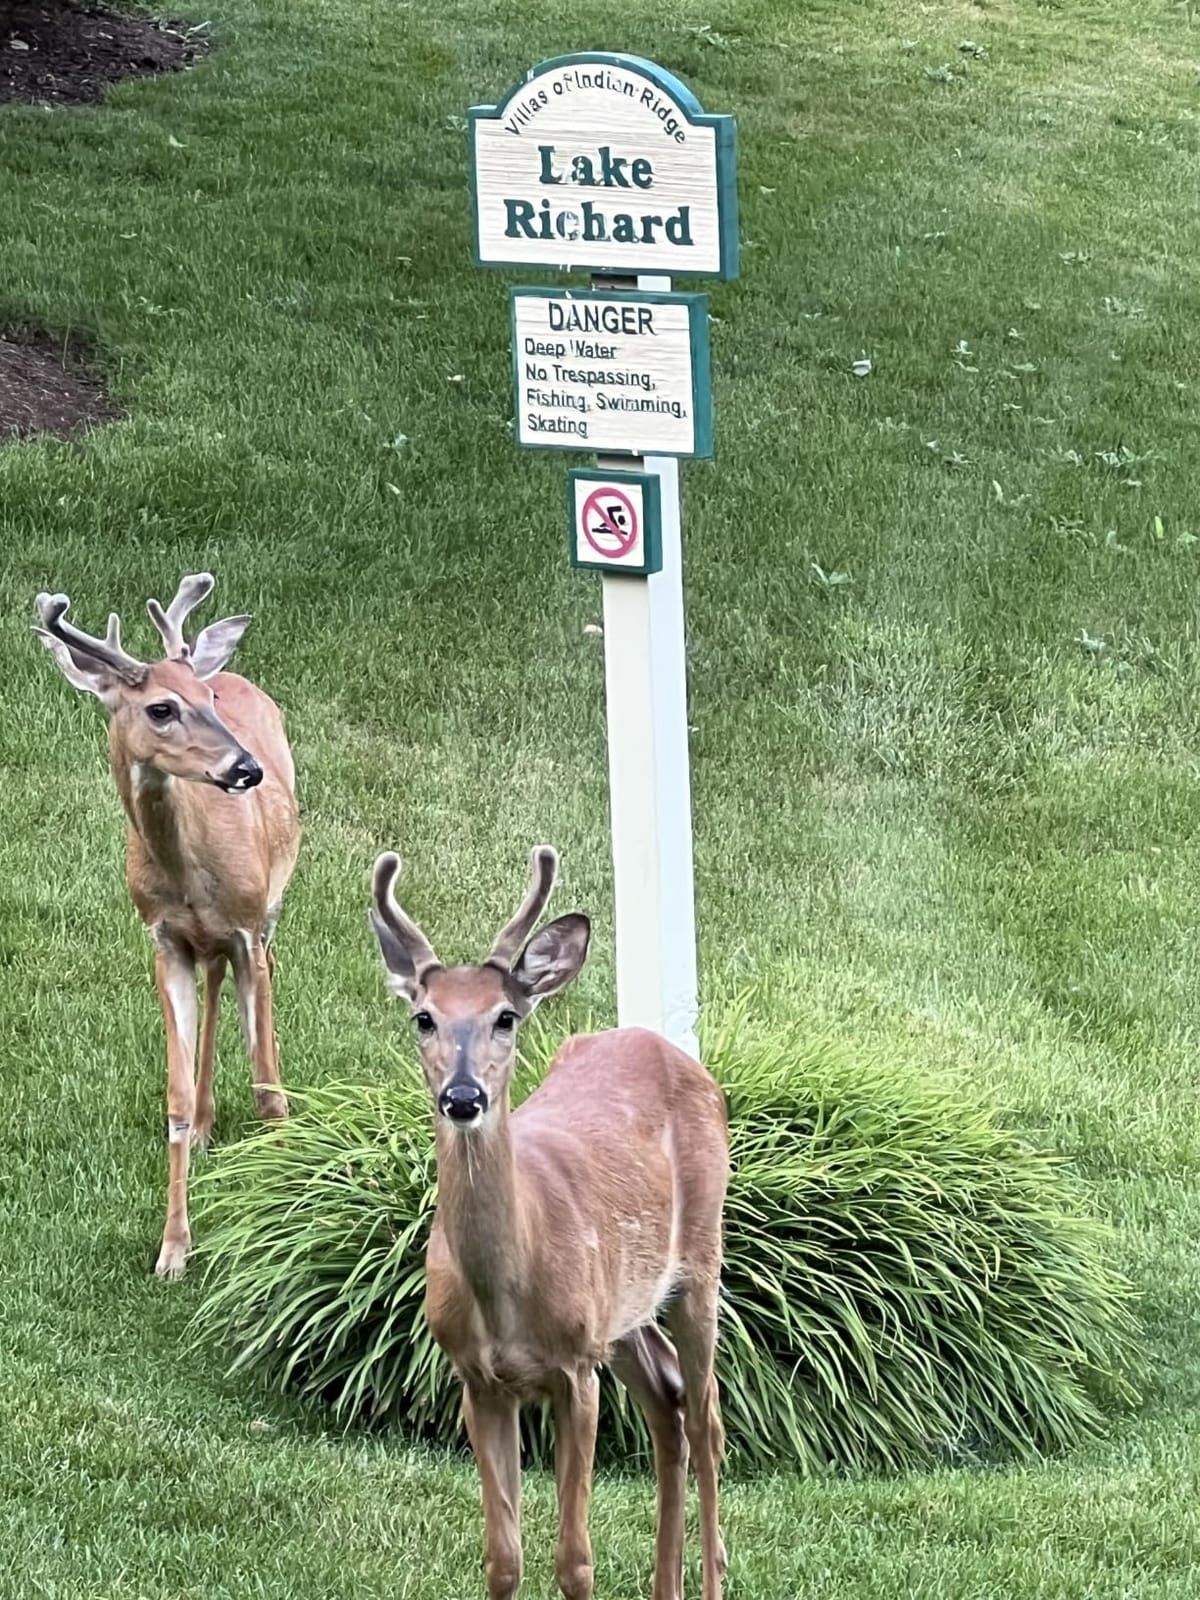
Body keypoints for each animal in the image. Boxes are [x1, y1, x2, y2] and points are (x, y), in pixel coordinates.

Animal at [33, 574, 300, 1279]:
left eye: (207, 700)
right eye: (160, 709)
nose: (245, 768)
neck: (189, 874)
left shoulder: (245, 925)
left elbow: (264, 1080)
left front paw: (287, 1199)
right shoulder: (163, 938)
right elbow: (173, 1101)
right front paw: (174, 1248)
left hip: (269, 909)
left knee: (259, 990)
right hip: (207, 942)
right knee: (214, 984)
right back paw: (208, 1126)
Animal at [368, 845, 729, 1600]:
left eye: (506, 1016)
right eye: (424, 1018)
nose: (464, 1097)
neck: (508, 1291)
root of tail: (674, 1053)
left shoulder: (574, 1367)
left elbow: (574, 1558)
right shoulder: (478, 1379)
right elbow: (504, 1556)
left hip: (700, 1262)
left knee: (708, 1419)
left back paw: (711, 1578)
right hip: (621, 1309)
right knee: (669, 1401)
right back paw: (665, 1585)